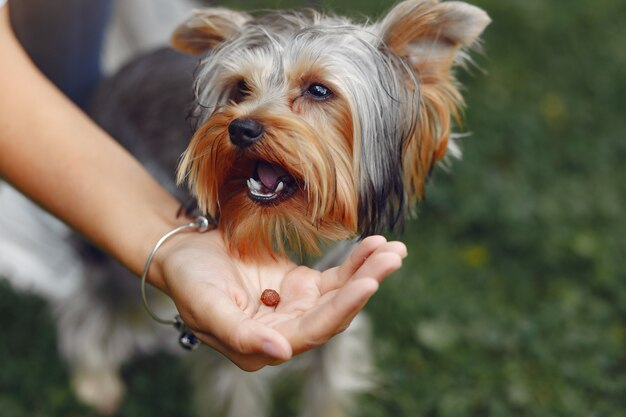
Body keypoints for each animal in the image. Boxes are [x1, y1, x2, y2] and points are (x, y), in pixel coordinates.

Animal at [0, 1, 488, 414]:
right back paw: (94, 379)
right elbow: (234, 394)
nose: (242, 128)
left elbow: (327, 384)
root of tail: (116, 76)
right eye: (239, 88)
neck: (289, 227)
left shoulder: (339, 322)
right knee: (90, 300)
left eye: (318, 90)